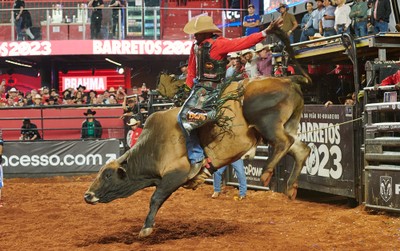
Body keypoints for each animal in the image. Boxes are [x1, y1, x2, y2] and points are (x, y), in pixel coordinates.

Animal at [83, 76, 310, 237]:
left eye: (107, 175)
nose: (87, 195)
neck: (153, 146)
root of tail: (288, 81)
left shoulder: (177, 173)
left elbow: (155, 198)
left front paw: (146, 229)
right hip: (284, 126)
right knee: (301, 149)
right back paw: (291, 187)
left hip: (265, 120)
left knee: (283, 142)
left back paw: (267, 173)